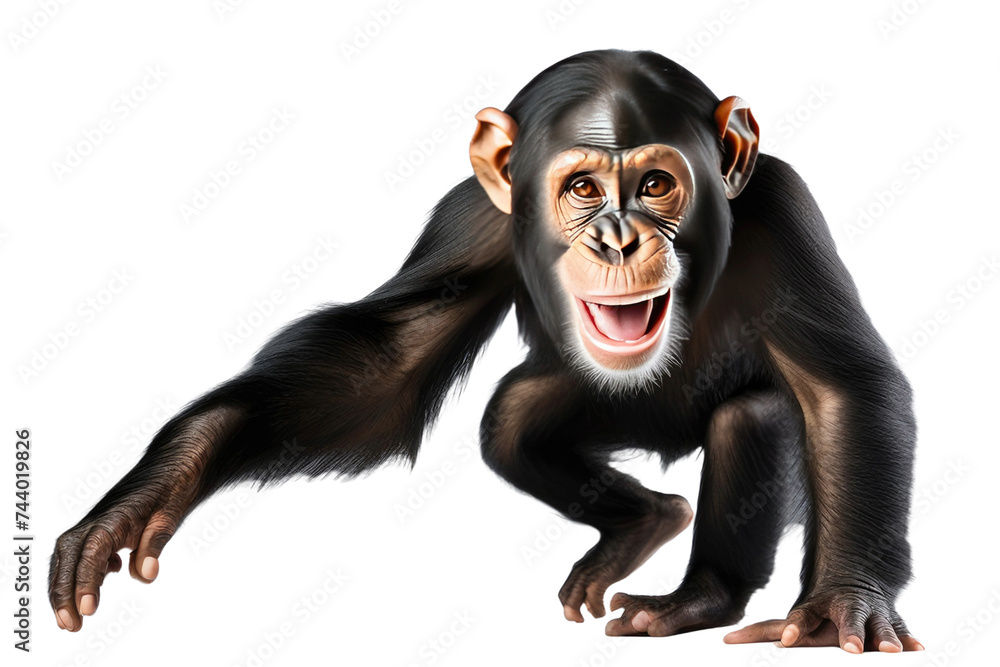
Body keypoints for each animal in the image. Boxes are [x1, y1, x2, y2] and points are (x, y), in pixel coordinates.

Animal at [50, 49, 921, 653]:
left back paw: (697, 596)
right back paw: (642, 522)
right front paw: (165, 477)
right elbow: (384, 367)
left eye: (655, 184)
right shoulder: (470, 217)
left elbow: (843, 389)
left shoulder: (784, 210)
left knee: (755, 416)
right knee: (512, 416)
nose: (618, 236)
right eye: (582, 188)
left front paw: (842, 602)